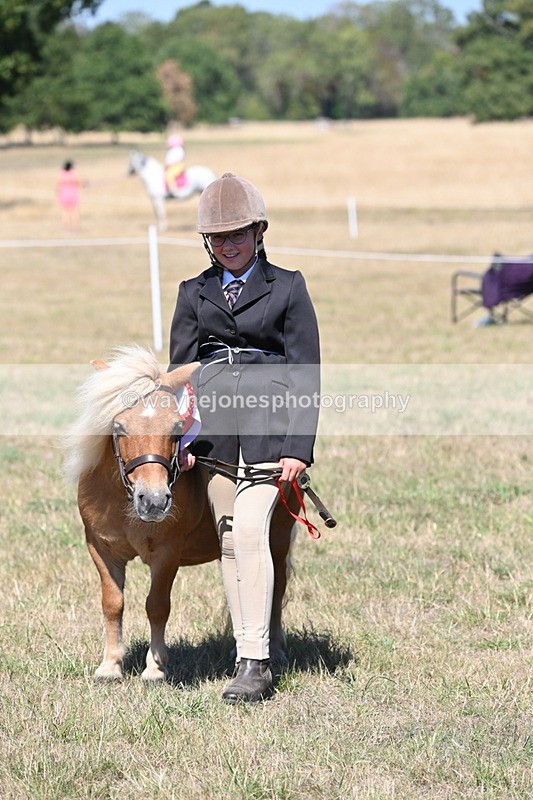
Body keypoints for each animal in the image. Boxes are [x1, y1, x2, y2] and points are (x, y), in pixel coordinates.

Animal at [63, 345, 296, 683]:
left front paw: (155, 668)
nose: (154, 500)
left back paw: (273, 650)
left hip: (276, 536)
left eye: (176, 428)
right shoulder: (101, 550)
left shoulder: (166, 553)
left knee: (275, 585)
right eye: (119, 427)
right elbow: (112, 604)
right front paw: (110, 666)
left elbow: (157, 605)